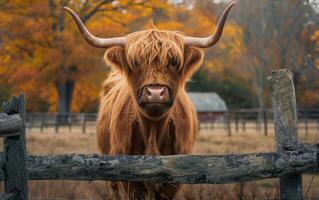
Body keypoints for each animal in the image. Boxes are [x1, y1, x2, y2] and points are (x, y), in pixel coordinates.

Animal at [65, 2, 235, 199]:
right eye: (136, 62)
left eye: (173, 61)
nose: (155, 93)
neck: (153, 134)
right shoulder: (126, 176)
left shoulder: (175, 178)